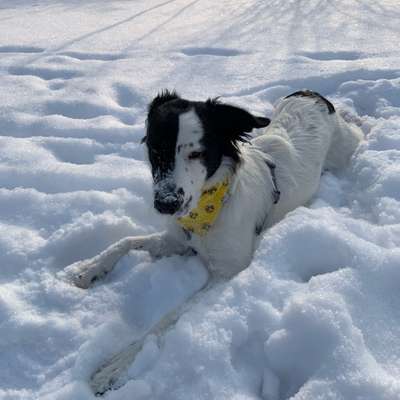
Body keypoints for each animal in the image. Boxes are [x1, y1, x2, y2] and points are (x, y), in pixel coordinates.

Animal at [62, 88, 362, 394]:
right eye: (156, 149)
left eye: (197, 154)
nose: (166, 204)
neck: (208, 209)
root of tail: (311, 93)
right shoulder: (177, 240)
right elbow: (125, 240)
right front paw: (88, 269)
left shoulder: (226, 273)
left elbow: (167, 319)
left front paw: (116, 366)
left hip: (346, 147)